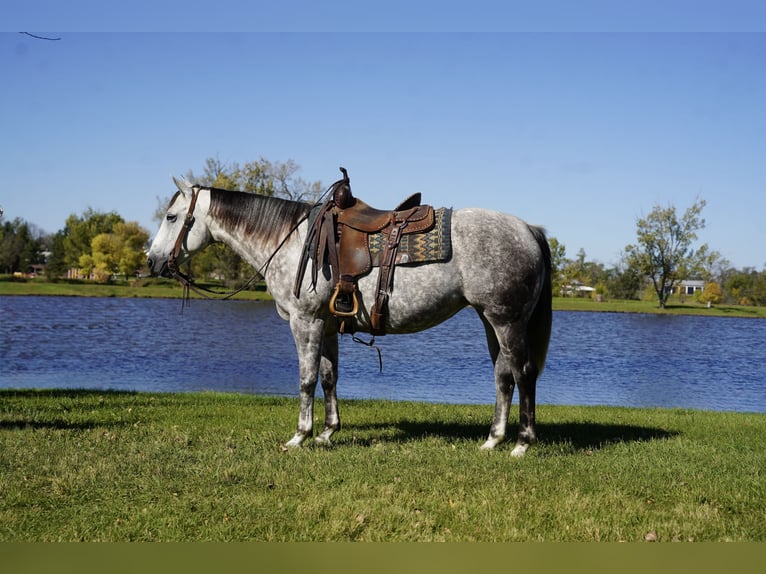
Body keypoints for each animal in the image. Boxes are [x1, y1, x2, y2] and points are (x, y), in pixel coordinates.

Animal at [146, 175, 552, 457]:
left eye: (171, 216)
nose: (152, 261)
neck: (293, 241)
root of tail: (528, 229)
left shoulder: (305, 321)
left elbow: (307, 379)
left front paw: (300, 435)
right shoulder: (325, 326)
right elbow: (329, 378)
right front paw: (328, 432)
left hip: (506, 320)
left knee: (522, 372)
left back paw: (522, 443)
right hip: (490, 319)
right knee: (503, 375)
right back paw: (493, 440)